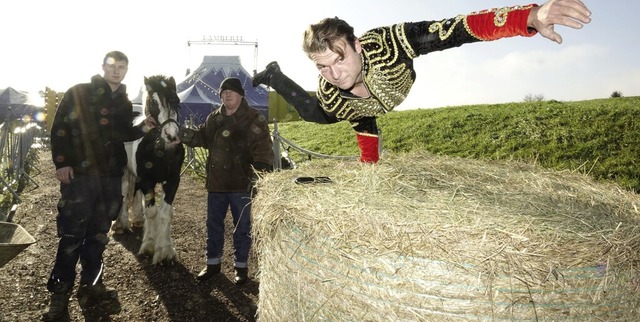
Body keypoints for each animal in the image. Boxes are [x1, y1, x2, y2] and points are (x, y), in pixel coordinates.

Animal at [110, 75, 184, 264]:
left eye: (177, 101)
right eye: (153, 102)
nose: (171, 135)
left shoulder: (172, 181)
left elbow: (165, 213)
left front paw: (165, 251)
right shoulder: (146, 180)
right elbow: (152, 212)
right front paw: (149, 247)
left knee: (135, 193)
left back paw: (137, 219)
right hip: (124, 171)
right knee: (123, 192)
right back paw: (120, 224)